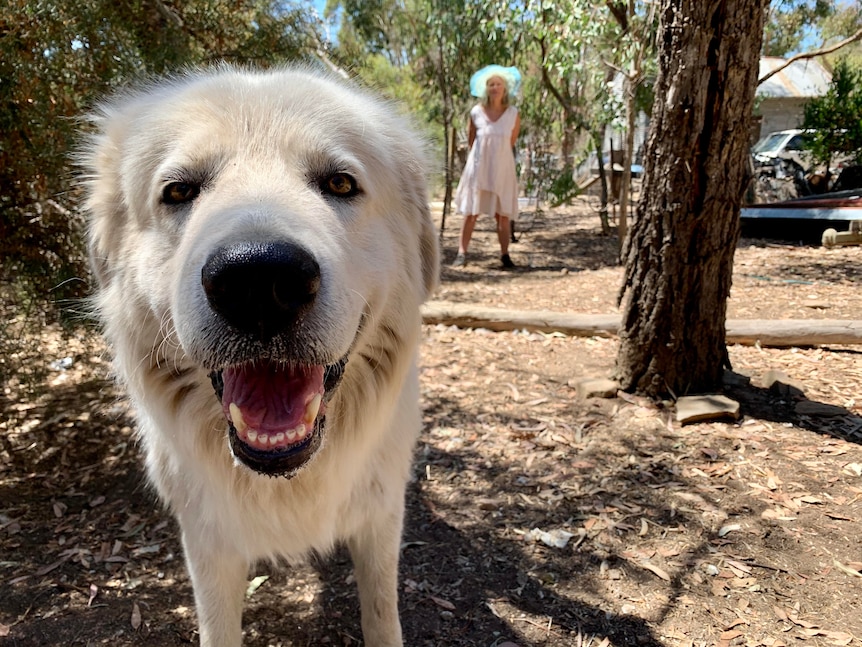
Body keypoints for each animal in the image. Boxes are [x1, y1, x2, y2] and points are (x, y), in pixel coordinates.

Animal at [82, 67, 438, 647]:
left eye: (341, 183)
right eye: (178, 191)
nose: (257, 281)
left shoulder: (380, 521)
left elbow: (382, 612)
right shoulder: (207, 542)